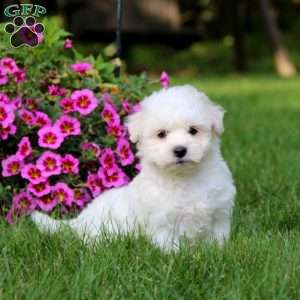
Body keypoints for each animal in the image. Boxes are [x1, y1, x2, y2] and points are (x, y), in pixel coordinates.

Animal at [31, 85, 236, 251]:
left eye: (193, 130)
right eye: (161, 134)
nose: (179, 150)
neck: (185, 178)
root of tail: (79, 220)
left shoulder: (220, 215)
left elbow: (218, 241)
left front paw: (218, 254)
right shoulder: (163, 224)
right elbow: (172, 248)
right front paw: (179, 258)